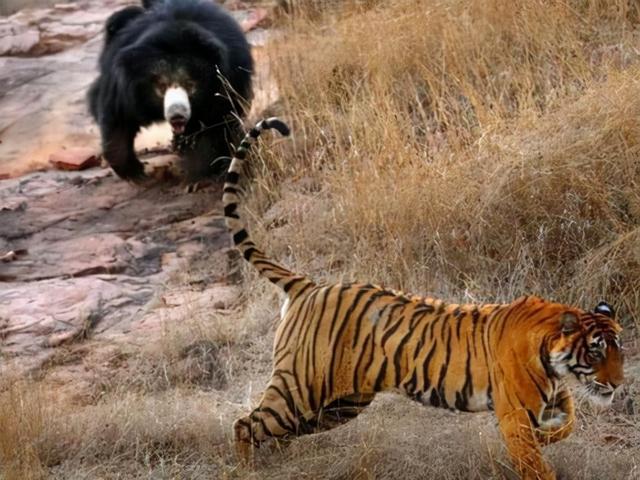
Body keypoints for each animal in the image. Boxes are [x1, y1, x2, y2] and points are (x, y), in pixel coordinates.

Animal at [88, 0, 253, 182]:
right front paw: (135, 173)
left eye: (190, 85)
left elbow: (216, 124)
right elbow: (118, 118)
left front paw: (197, 172)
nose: (177, 115)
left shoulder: (227, 84)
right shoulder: (124, 87)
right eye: (161, 86)